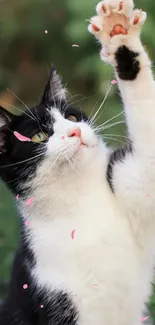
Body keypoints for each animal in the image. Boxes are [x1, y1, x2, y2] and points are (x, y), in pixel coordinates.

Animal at [0, 0, 155, 324]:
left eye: (71, 117)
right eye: (38, 136)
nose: (74, 131)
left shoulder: (135, 186)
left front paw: (118, 32)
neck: (81, 198)